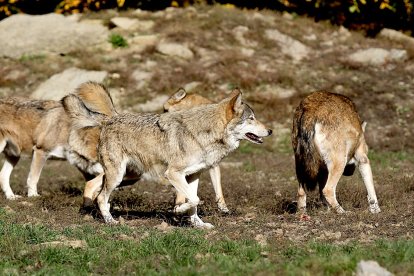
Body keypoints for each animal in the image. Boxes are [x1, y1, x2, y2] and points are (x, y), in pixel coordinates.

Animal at [64, 89, 272, 229]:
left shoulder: (193, 175)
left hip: (128, 177)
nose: (270, 131)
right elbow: (194, 200)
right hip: (118, 176)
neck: (204, 134)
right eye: (252, 118)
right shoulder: (173, 174)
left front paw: (198, 224)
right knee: (101, 196)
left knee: (99, 192)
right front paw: (178, 211)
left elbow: (194, 202)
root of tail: (109, 119)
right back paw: (110, 221)